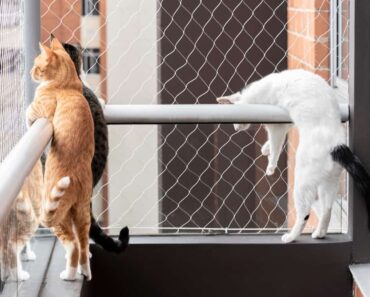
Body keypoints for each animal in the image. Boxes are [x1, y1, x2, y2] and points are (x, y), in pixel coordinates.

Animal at [26, 37, 94, 280]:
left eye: (37, 65)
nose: (30, 72)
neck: (68, 83)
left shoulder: (39, 109)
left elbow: (28, 113)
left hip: (56, 215)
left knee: (73, 245)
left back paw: (69, 274)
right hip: (82, 213)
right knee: (83, 245)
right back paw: (84, 272)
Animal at [217, 68, 370, 242]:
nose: (235, 128)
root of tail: (337, 146)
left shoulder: (276, 127)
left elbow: (276, 145)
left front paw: (271, 165)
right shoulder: (285, 123)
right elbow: (276, 140)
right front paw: (265, 149)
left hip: (303, 182)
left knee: (304, 213)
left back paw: (291, 236)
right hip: (329, 183)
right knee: (327, 209)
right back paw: (319, 233)